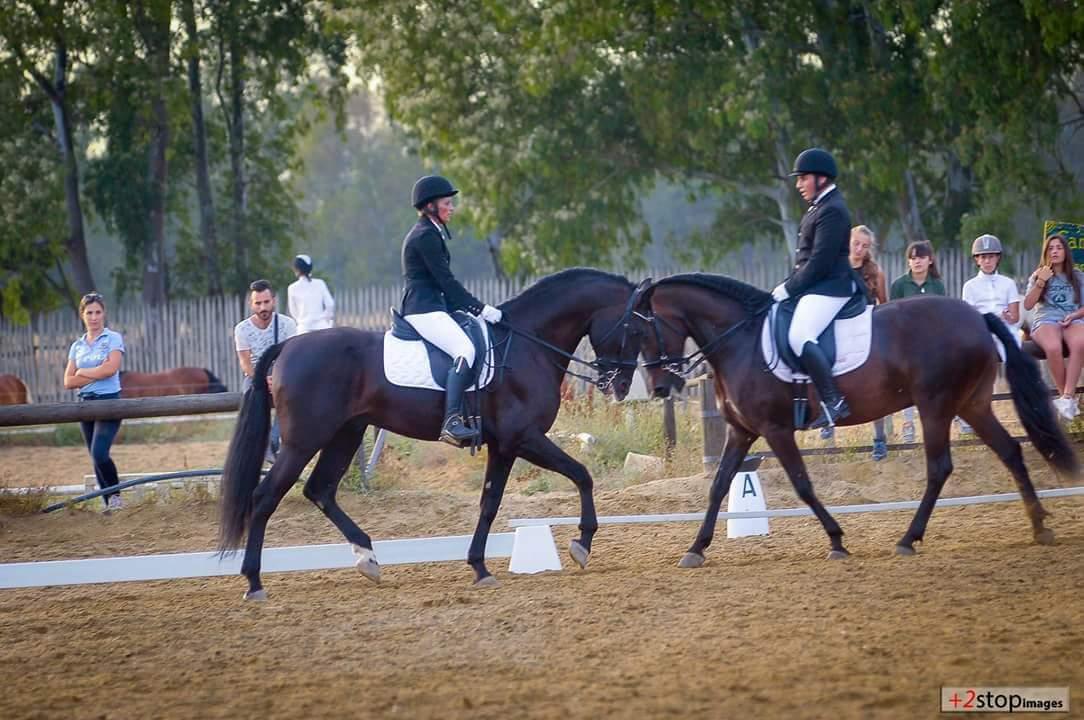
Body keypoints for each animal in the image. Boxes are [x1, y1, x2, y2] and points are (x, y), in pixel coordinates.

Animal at [215, 266, 646, 598]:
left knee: (320, 490)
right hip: (303, 440)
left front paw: (479, 567)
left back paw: (368, 559)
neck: (528, 344)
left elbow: (490, 504)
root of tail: (287, 347)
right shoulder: (523, 438)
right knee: (265, 496)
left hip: (346, 434)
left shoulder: (504, 446)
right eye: (635, 330)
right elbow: (582, 475)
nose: (621, 386)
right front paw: (581, 544)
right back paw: (254, 582)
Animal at [637, 273, 1079, 563]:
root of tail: (977, 317)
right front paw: (695, 549)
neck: (741, 341)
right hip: (972, 404)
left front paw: (836, 541)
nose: (659, 388)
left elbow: (803, 485)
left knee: (939, 467)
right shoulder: (742, 431)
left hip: (935, 405)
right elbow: (718, 486)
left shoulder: (775, 430)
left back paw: (908, 538)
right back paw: (1040, 526)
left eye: (643, 332)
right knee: (1010, 452)